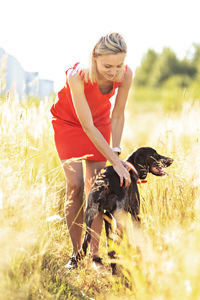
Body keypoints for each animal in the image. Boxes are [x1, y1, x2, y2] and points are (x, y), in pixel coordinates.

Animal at [76, 146, 173, 274]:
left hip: (90, 216)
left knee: (87, 242)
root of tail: (106, 184)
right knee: (114, 247)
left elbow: (108, 241)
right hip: (119, 221)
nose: (171, 160)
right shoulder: (135, 214)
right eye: (154, 154)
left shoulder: (107, 216)